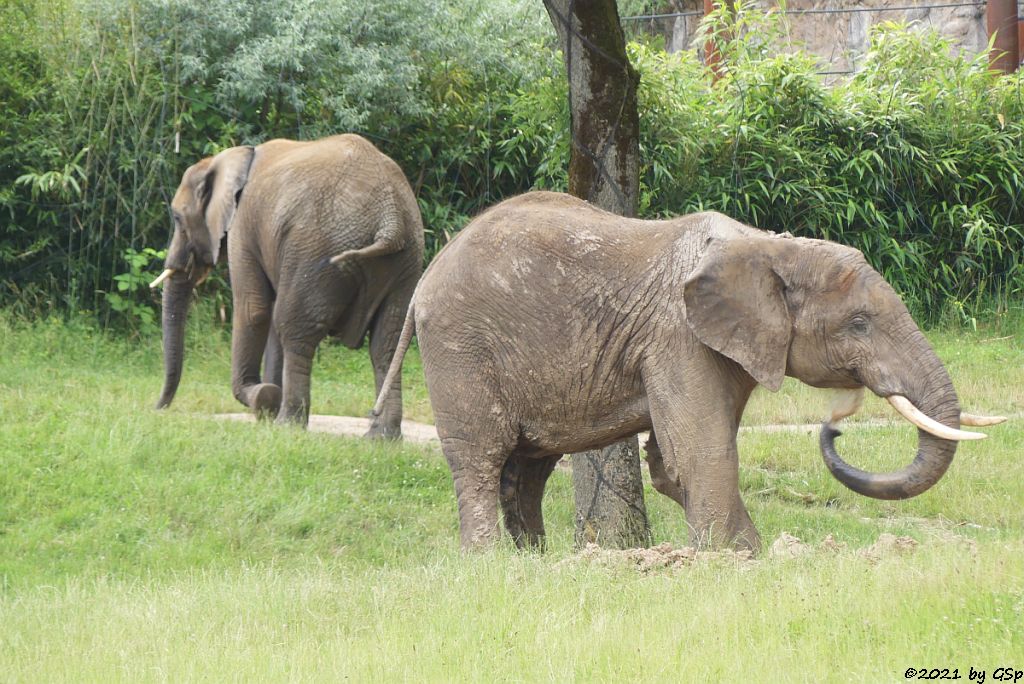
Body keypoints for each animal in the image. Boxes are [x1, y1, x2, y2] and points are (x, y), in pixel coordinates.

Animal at [151, 134, 423, 436]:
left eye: (177, 218)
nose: (157, 408)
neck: (230, 158)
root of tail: (390, 218)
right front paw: (267, 409)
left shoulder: (243, 226)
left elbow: (254, 310)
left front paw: (263, 398)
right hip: (405, 259)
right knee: (387, 344)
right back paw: (381, 437)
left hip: (316, 249)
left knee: (295, 329)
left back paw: (288, 425)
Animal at [374, 191, 999, 548]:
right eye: (861, 323)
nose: (836, 425)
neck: (770, 247)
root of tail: (428, 274)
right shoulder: (678, 336)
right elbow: (701, 451)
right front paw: (733, 559)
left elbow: (676, 462)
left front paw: (746, 552)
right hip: (460, 348)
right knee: (482, 458)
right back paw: (492, 564)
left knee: (526, 469)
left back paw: (537, 562)